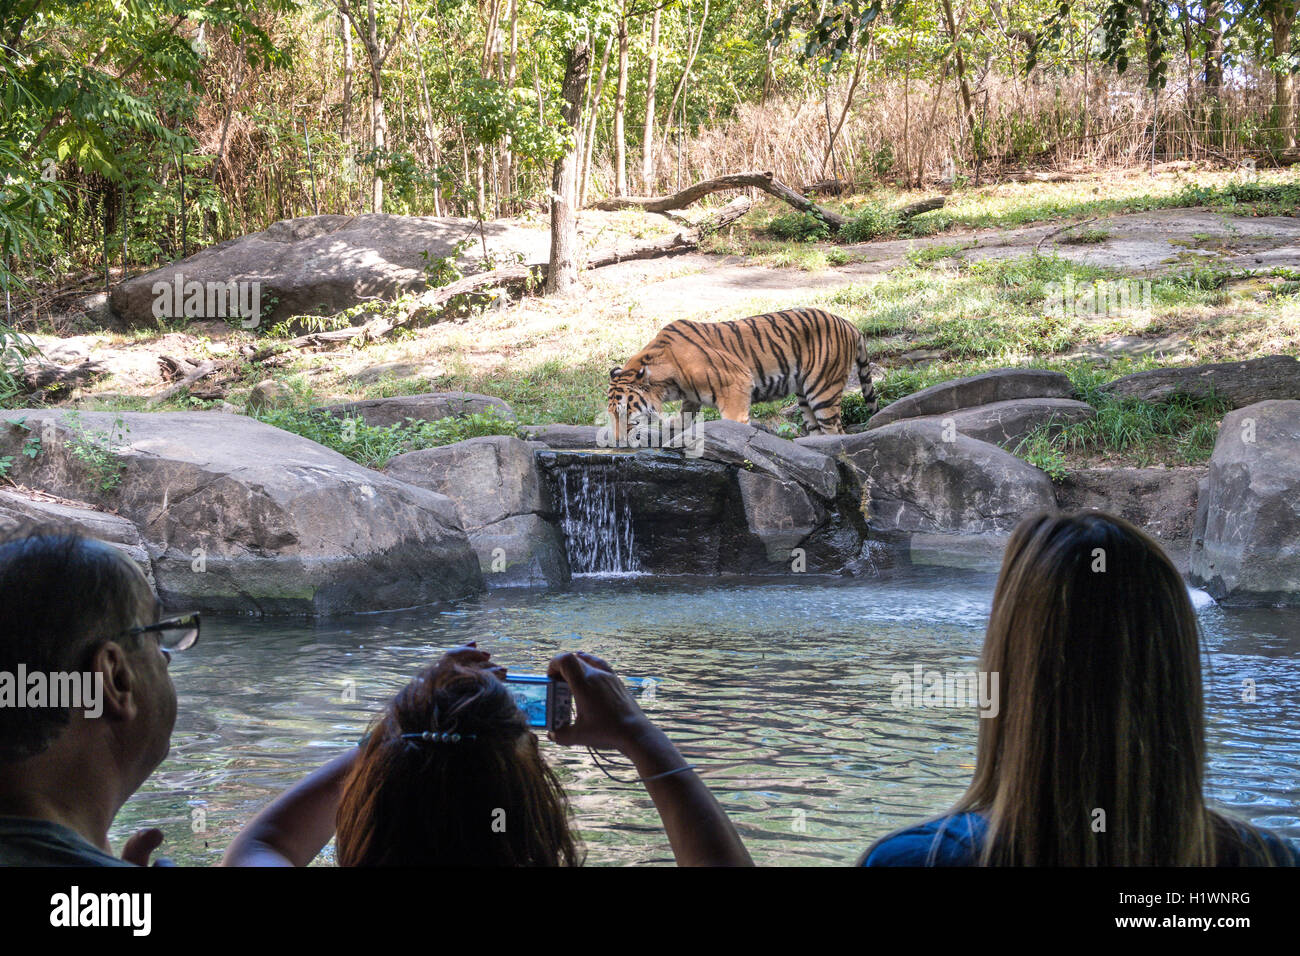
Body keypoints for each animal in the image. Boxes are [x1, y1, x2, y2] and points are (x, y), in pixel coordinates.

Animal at [611, 306, 883, 442]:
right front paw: (674, 427)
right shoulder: (690, 397)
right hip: (805, 395)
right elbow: (686, 415)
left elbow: (733, 419)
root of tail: (849, 324)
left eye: (625, 413)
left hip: (823, 389)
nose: (617, 441)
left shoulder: (736, 382)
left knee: (836, 431)